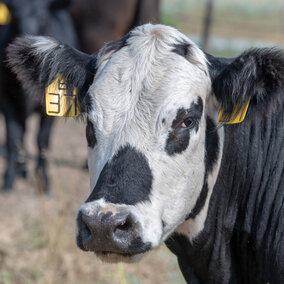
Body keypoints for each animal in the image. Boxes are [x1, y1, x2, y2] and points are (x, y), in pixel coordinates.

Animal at [0, 0, 77, 193]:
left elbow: (42, 140)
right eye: (14, 14)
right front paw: (8, 179)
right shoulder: (7, 99)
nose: (26, 41)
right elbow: (13, 137)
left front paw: (44, 180)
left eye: (42, 15)